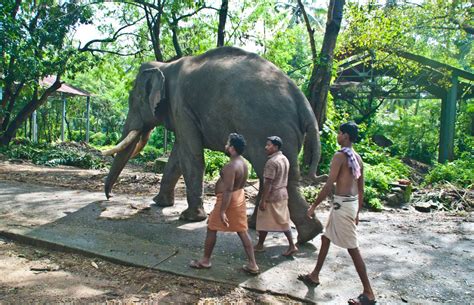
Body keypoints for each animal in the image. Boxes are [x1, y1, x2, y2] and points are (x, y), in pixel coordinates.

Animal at [103, 47, 324, 242]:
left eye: (134, 100)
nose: (110, 196)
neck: (165, 65)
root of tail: (303, 103)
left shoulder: (180, 105)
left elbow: (191, 155)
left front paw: (189, 217)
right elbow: (178, 156)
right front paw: (160, 202)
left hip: (268, 127)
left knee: (280, 176)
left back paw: (308, 234)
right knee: (270, 174)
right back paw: (261, 225)